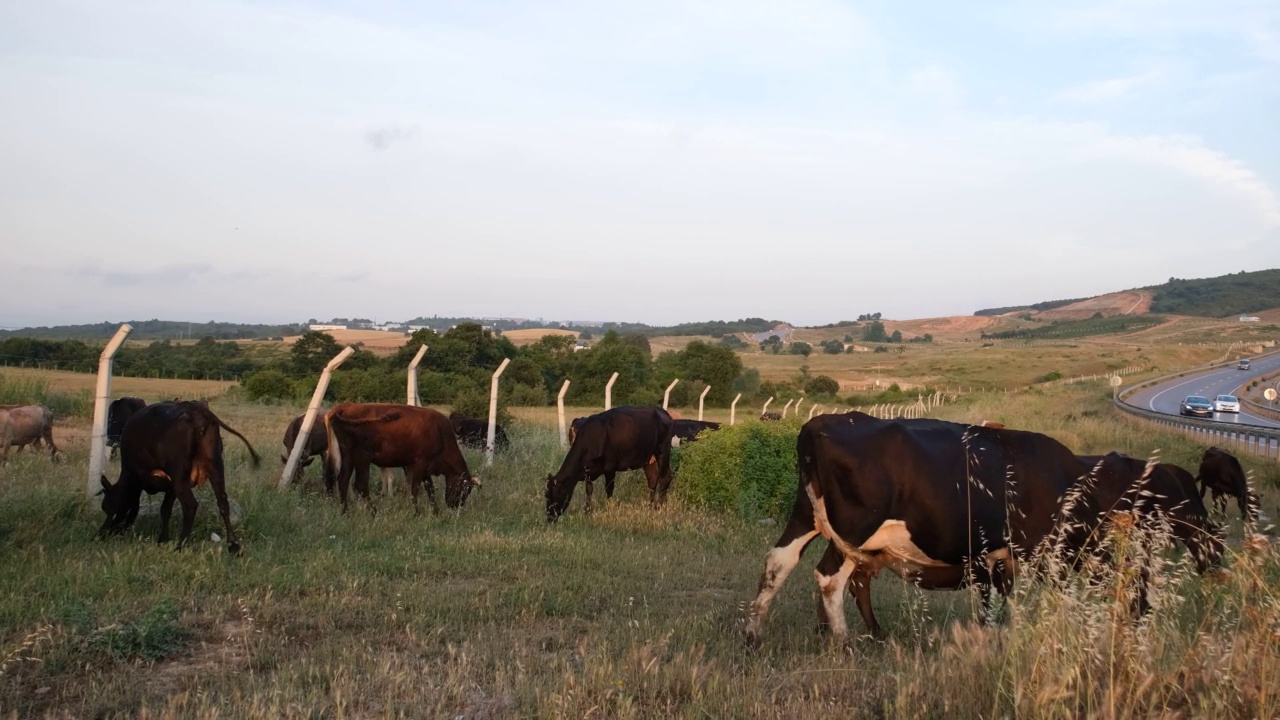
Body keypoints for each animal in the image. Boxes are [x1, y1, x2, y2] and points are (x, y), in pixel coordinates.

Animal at [95, 399, 259, 550]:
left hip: (180, 476)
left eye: (109, 508)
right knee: (223, 502)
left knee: (191, 505)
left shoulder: (139, 478)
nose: (101, 534)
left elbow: (135, 507)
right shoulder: (170, 486)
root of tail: (195, 409)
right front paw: (163, 539)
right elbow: (165, 510)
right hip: (215, 467)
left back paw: (181, 545)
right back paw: (233, 545)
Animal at [322, 399, 478, 512]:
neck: (440, 433)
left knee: (343, 480)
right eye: (465, 489)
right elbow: (415, 488)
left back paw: (345, 512)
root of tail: (345, 407)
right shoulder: (419, 463)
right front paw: (416, 512)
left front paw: (435, 511)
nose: (455, 506)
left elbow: (429, 489)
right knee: (360, 484)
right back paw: (373, 512)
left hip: (348, 456)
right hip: (362, 457)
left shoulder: (420, 466)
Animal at [545, 404, 675, 515]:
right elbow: (589, 489)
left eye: (558, 494)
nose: (549, 516)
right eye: (546, 495)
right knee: (653, 479)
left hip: (663, 450)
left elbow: (609, 489)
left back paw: (658, 506)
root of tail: (663, 412)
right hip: (648, 458)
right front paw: (587, 510)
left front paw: (609, 508)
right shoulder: (588, 470)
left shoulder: (610, 467)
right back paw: (649, 506)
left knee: (665, 476)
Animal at [747, 409, 1085, 638]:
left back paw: (754, 633)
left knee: (779, 562)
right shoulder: (1032, 554)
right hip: (853, 531)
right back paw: (842, 639)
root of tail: (817, 426)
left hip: (807, 516)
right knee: (831, 578)